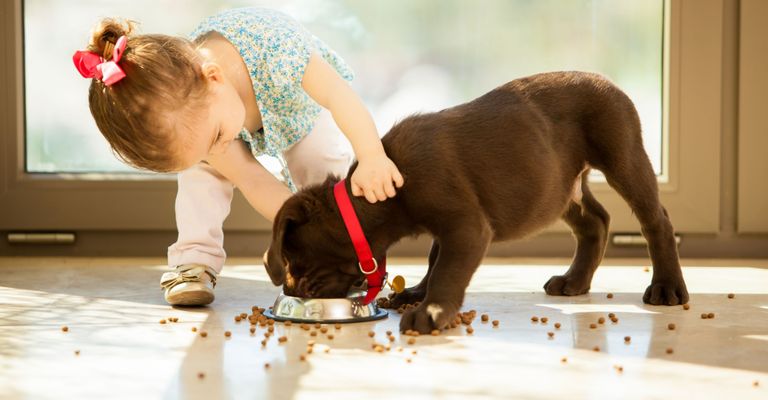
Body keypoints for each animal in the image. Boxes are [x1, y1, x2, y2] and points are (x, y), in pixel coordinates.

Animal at [264, 70, 688, 332]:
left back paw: (667, 288)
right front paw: (417, 294)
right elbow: (435, 259)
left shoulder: (465, 225)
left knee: (656, 220)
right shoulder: (450, 227)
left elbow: (448, 269)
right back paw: (574, 281)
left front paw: (430, 311)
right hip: (559, 186)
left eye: (296, 261)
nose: (293, 291)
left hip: (623, 156)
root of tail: (607, 80)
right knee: (595, 221)